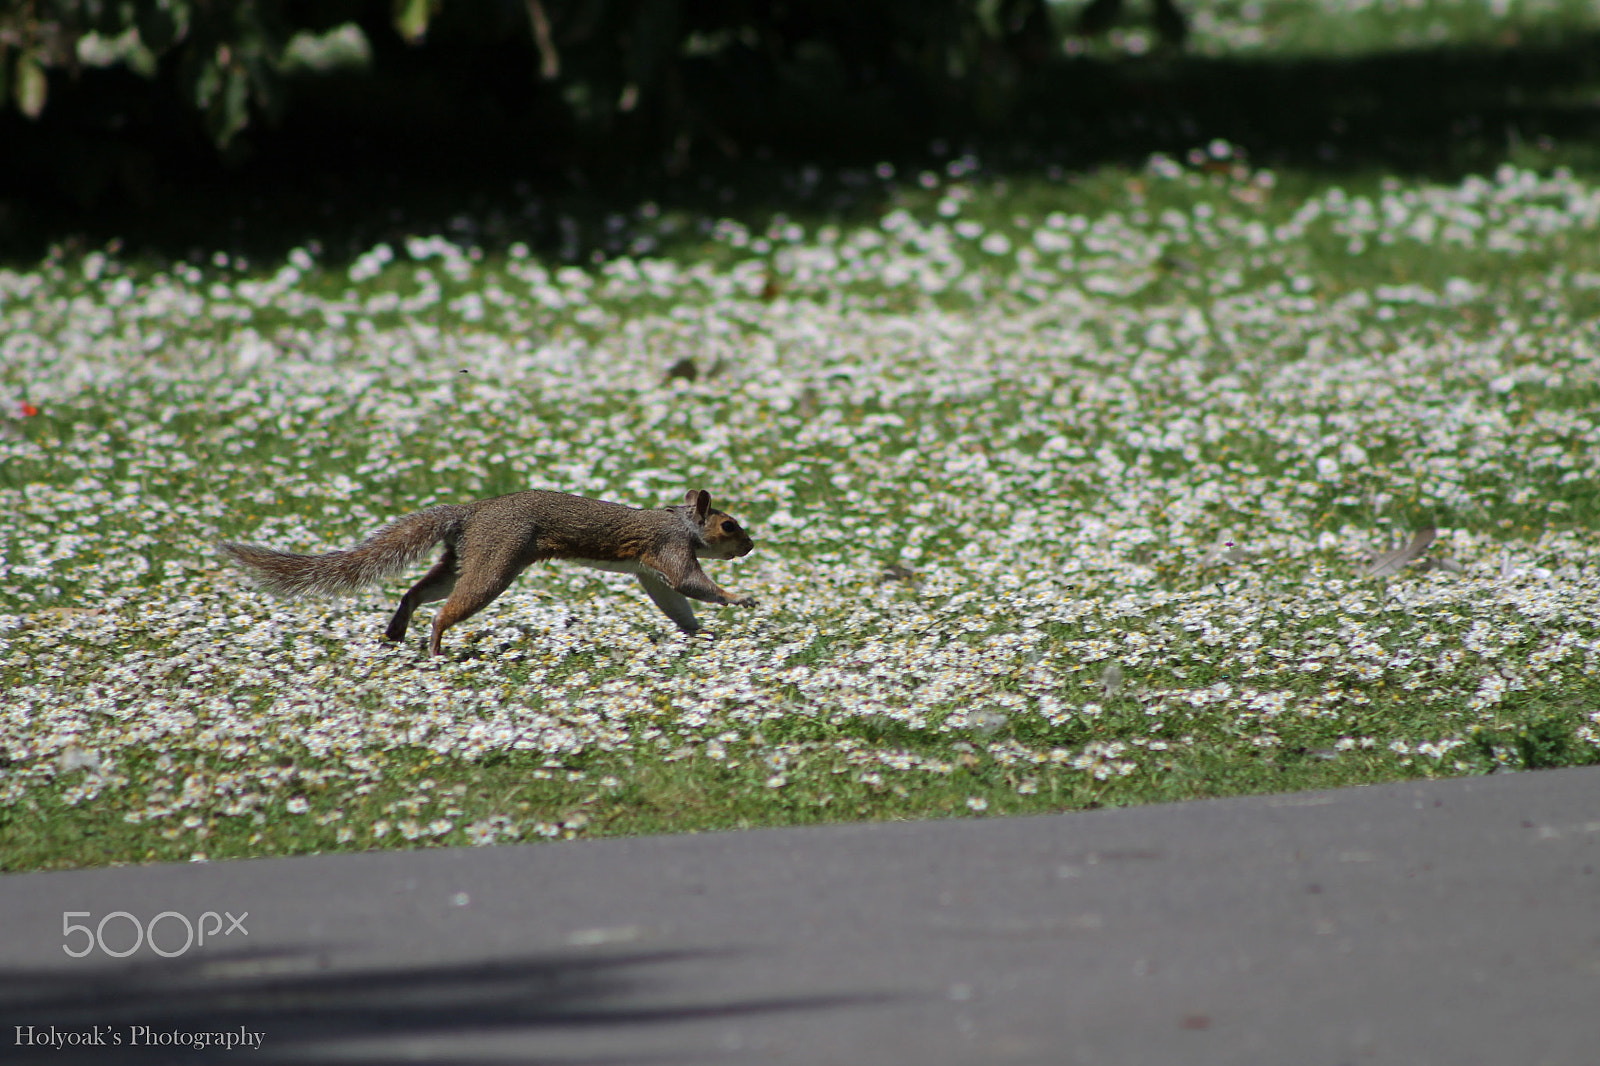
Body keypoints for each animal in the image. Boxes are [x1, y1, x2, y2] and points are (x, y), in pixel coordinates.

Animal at [217, 486, 755, 653]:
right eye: (728, 525)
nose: (751, 545)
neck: (680, 522)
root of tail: (470, 513)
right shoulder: (670, 551)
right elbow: (690, 583)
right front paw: (738, 598)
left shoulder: (649, 571)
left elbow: (675, 601)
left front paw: (700, 633)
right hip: (496, 562)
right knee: (446, 609)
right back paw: (435, 648)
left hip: (462, 559)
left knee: (418, 591)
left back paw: (397, 630)